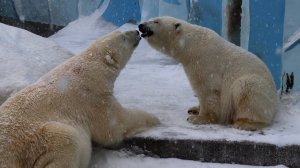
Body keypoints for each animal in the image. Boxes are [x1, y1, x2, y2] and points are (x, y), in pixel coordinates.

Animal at [0, 30, 159, 168]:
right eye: (123, 37)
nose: (137, 31)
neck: (90, 70)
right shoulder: (93, 99)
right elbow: (115, 126)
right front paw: (154, 119)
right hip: (35, 143)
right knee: (68, 141)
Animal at [139, 16, 280, 131]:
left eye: (156, 21)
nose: (141, 25)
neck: (191, 46)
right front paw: (194, 109)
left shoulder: (205, 62)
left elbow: (208, 90)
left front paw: (198, 118)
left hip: (258, 88)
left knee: (245, 89)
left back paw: (245, 123)